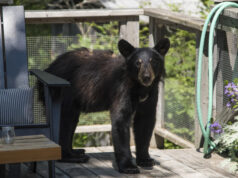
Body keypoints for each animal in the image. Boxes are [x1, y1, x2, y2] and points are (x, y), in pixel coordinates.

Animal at [44, 38, 169, 173]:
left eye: (153, 61)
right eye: (138, 63)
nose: (146, 77)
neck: (140, 88)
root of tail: (49, 67)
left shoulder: (151, 94)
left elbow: (145, 121)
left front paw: (145, 159)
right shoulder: (122, 89)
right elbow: (121, 120)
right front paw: (128, 166)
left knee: (71, 122)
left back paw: (76, 152)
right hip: (64, 92)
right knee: (65, 121)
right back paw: (71, 156)